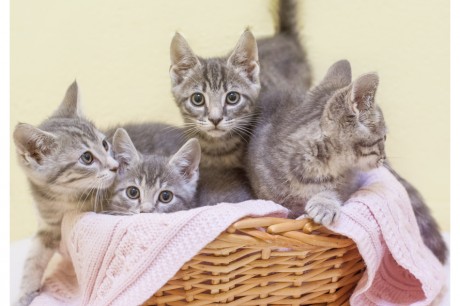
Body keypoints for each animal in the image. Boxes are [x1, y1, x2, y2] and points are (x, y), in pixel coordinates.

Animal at [12, 82, 118, 306]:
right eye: (87, 158)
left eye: (105, 144)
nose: (116, 166)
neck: (63, 198)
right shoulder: (47, 226)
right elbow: (33, 257)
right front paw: (25, 293)